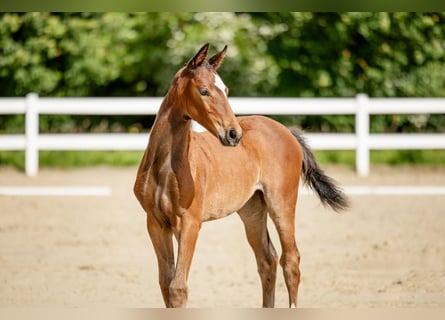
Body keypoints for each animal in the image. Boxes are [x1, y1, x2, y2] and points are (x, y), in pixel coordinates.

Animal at [134, 43, 348, 308]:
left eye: (226, 89)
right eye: (204, 91)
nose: (233, 134)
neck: (165, 168)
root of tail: (286, 131)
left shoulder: (189, 223)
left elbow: (178, 288)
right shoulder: (155, 223)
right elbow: (166, 284)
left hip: (281, 203)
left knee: (290, 260)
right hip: (252, 208)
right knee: (267, 260)